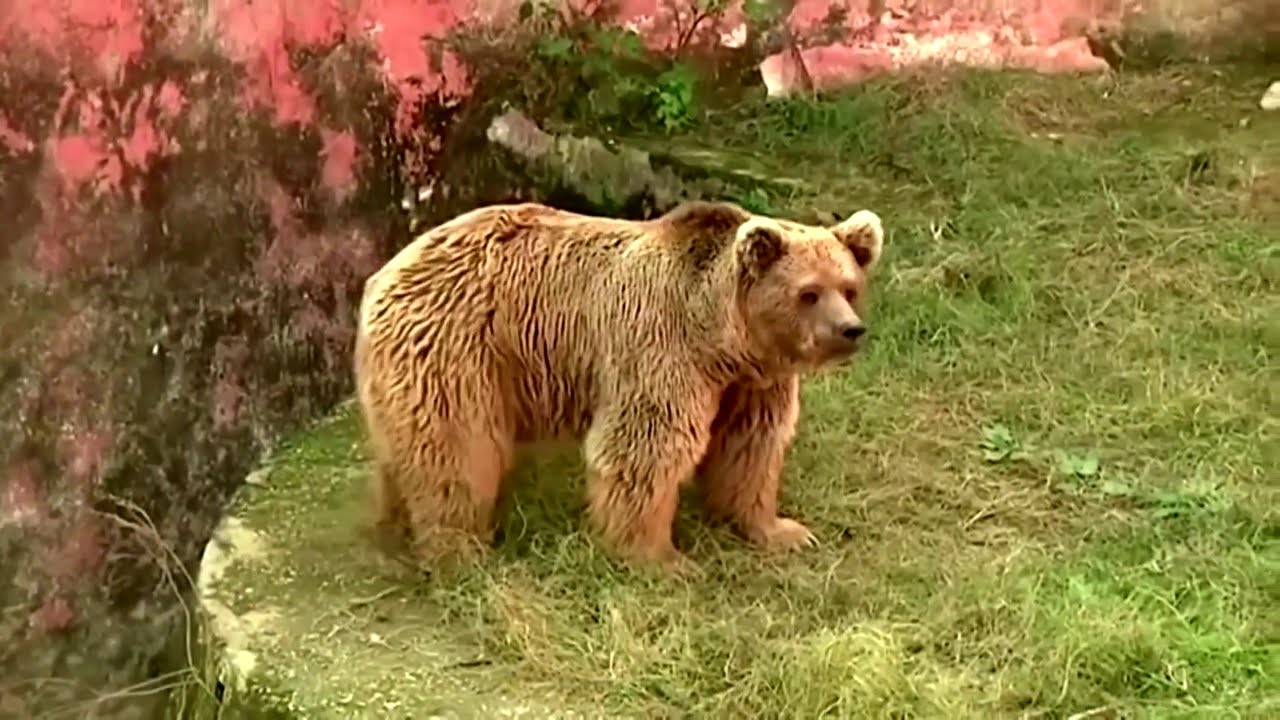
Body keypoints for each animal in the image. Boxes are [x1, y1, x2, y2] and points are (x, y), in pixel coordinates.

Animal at [354, 199, 885, 573]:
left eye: (849, 286)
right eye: (808, 293)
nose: (850, 330)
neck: (723, 339)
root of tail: (387, 270)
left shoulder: (752, 384)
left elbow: (750, 446)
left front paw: (781, 530)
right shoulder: (662, 351)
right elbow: (645, 448)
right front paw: (661, 559)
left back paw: (391, 531)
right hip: (458, 347)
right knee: (456, 448)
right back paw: (458, 550)